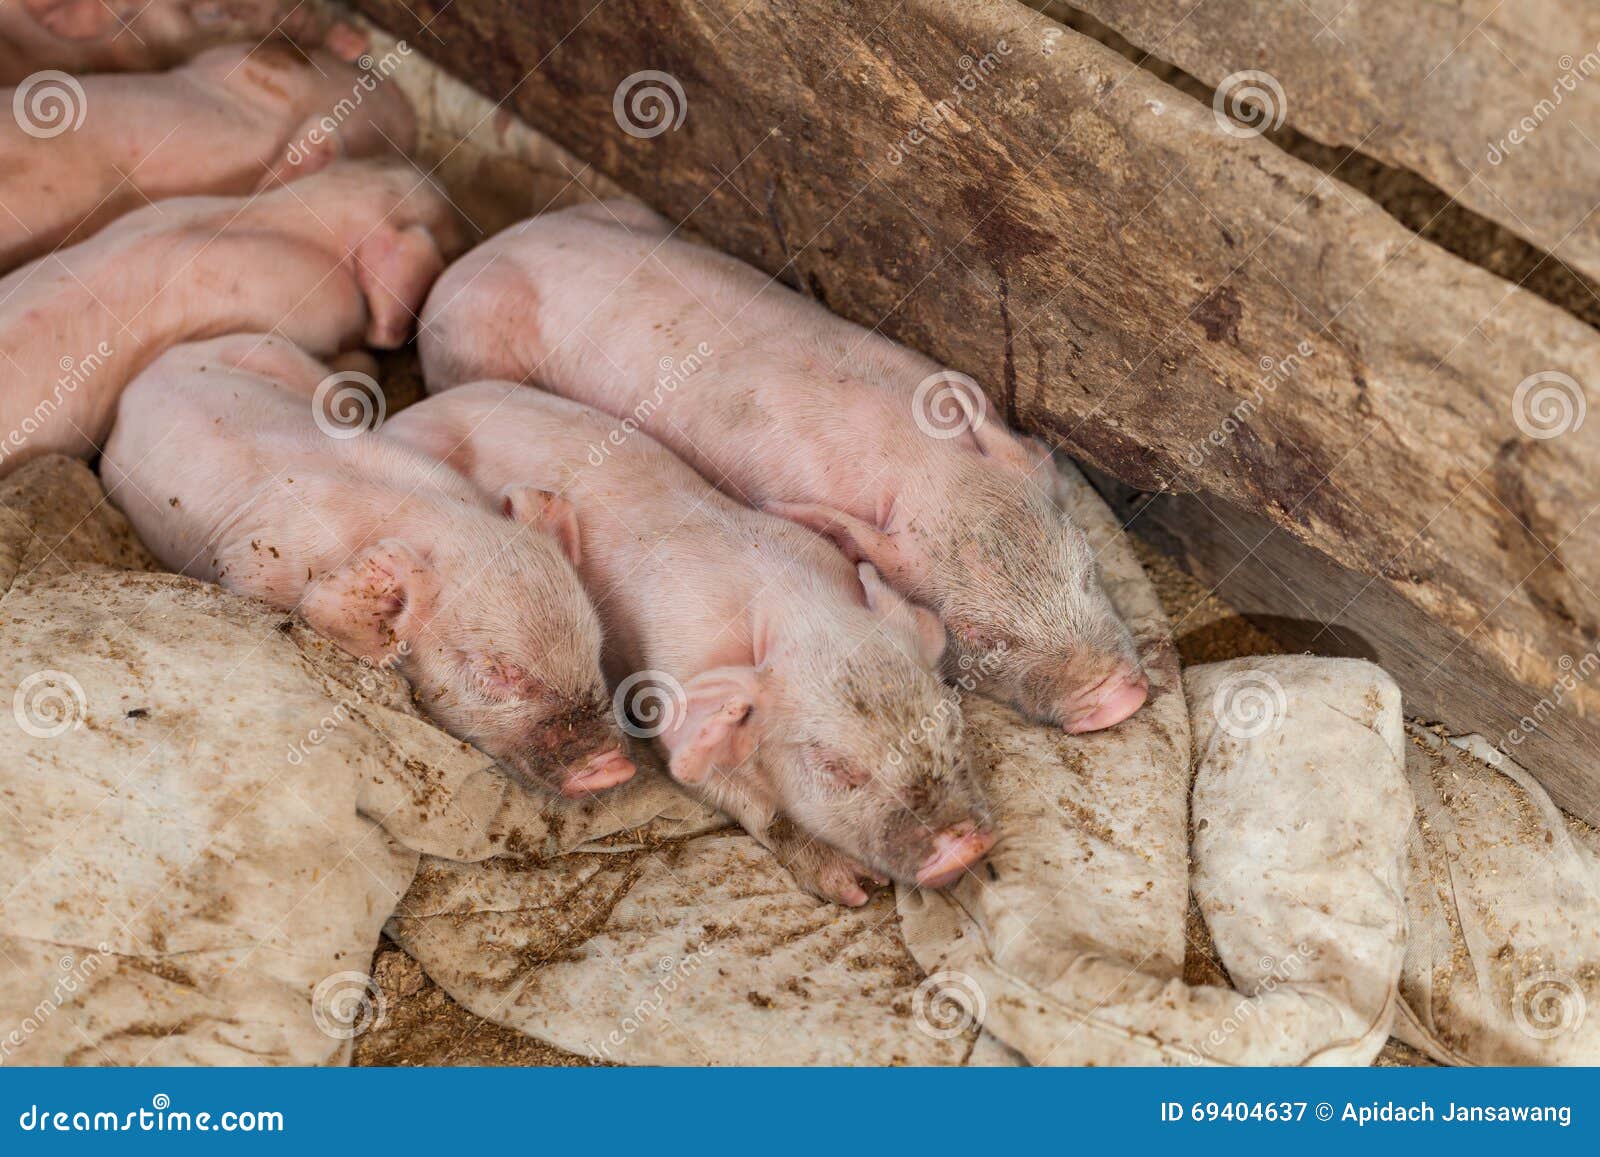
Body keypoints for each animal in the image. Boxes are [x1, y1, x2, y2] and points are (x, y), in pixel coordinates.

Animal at [383, 381, 995, 905]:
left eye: (951, 726)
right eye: (837, 770)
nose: (966, 845)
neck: (791, 608)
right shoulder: (671, 713)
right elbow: (750, 803)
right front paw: (850, 888)